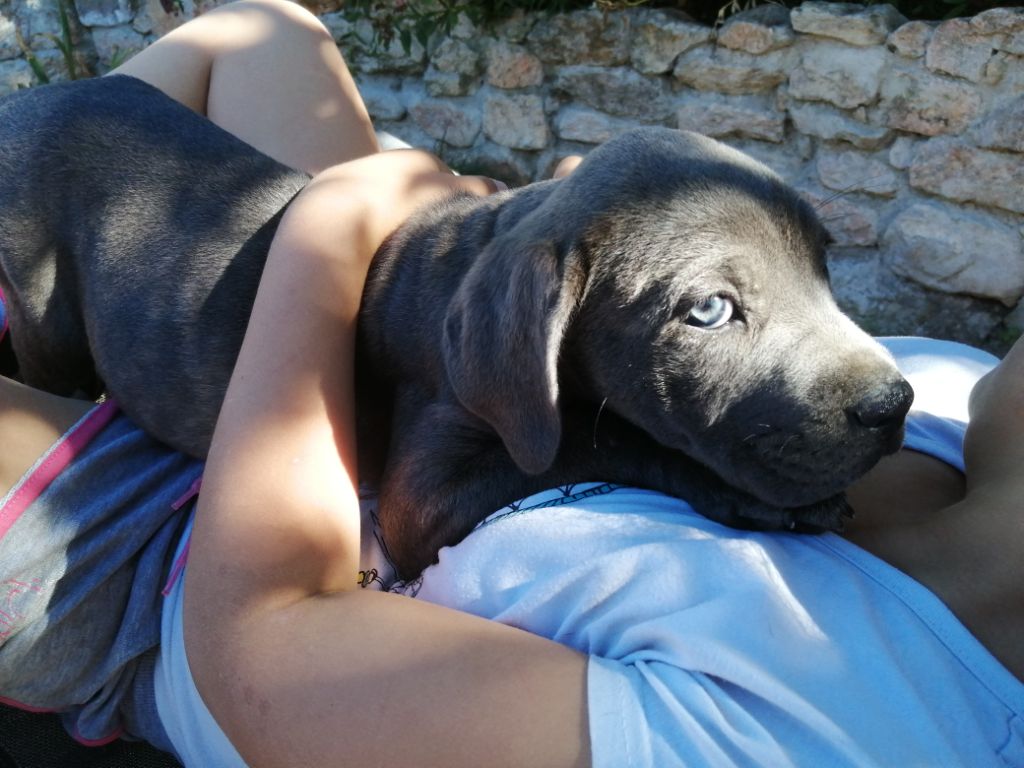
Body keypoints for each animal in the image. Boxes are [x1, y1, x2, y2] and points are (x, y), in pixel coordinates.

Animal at [0, 76, 913, 577]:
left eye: (825, 263)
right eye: (710, 310)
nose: (895, 405)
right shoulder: (419, 495)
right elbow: (593, 441)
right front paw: (748, 497)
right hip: (46, 308)